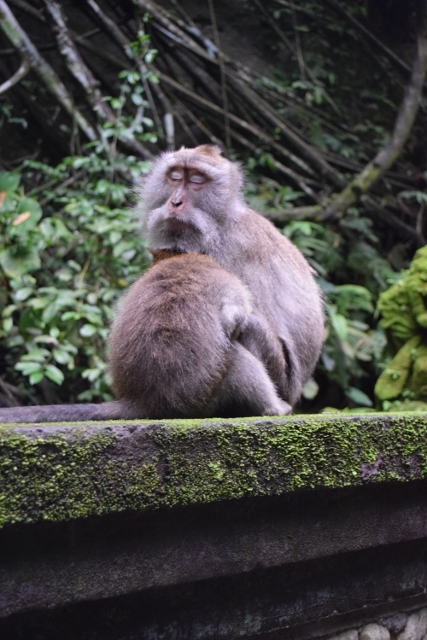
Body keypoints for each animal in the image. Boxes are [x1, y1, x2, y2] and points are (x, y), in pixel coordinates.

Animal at [0, 252, 291, 422]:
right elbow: (234, 320)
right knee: (236, 359)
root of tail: (145, 399)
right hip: (203, 400)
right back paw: (273, 407)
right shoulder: (231, 290)